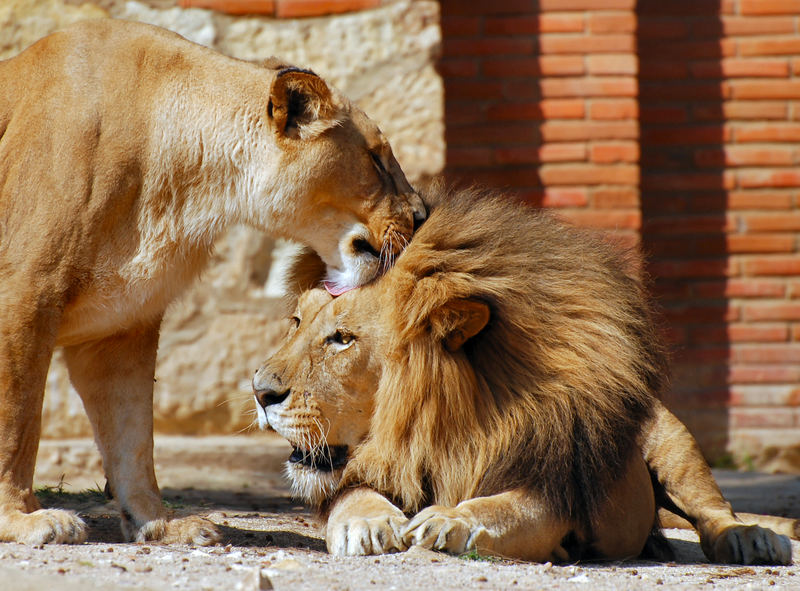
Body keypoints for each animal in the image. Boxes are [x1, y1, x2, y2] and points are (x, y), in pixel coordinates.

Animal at [0, 18, 424, 544]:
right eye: (376, 159)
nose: (422, 216)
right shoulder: (24, 294)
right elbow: (16, 422)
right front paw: (19, 517)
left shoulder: (120, 328)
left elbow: (132, 437)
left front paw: (158, 523)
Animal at [255, 185, 792, 564]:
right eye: (298, 321)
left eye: (342, 339)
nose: (260, 392)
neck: (429, 431)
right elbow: (352, 492)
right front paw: (364, 523)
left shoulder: (553, 491)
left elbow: (499, 508)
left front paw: (446, 520)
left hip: (673, 442)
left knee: (714, 513)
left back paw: (751, 539)